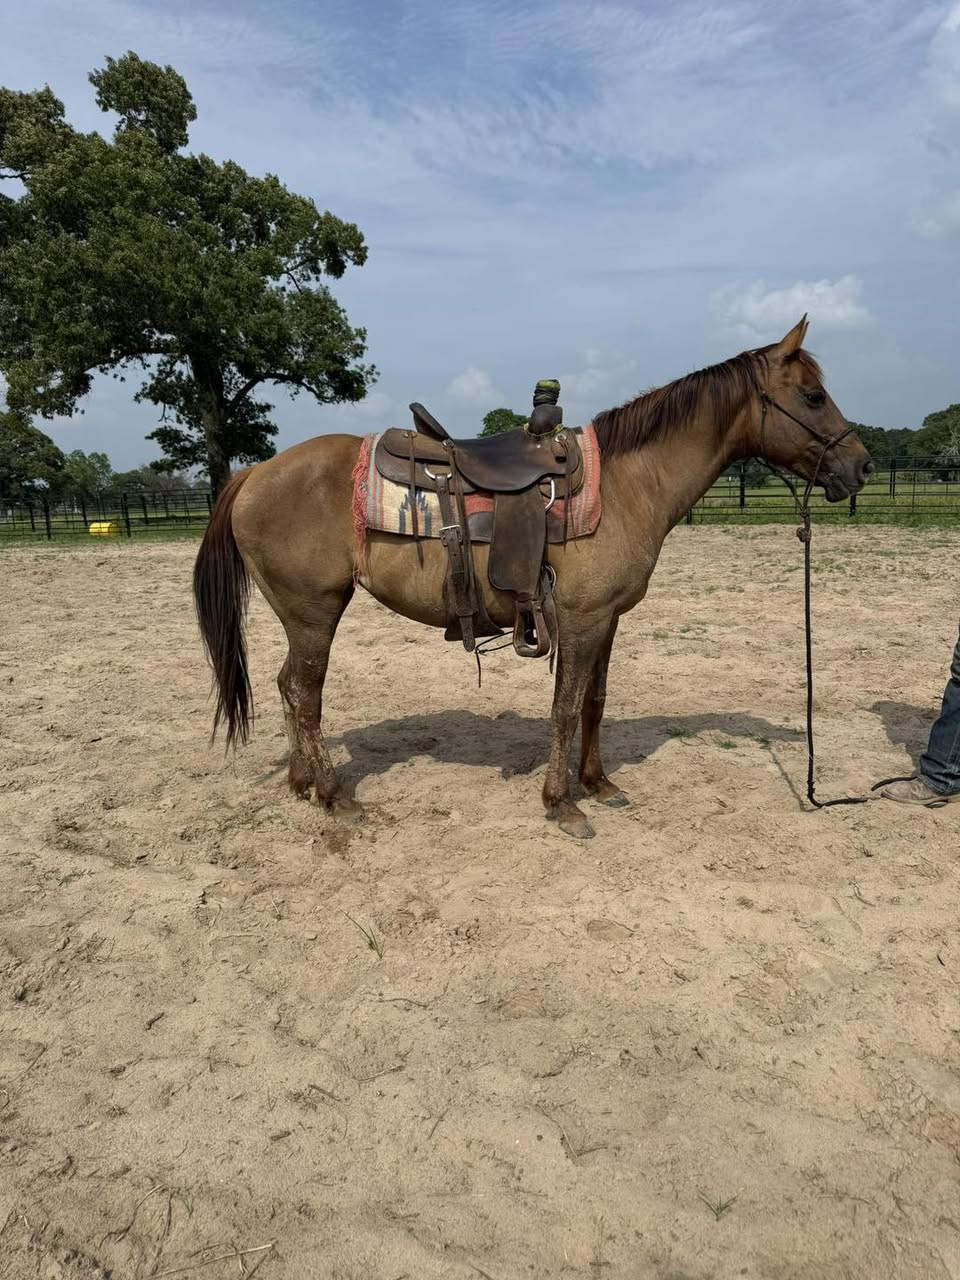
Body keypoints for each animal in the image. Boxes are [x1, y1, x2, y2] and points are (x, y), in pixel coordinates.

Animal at [193, 317, 873, 839]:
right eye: (814, 397)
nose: (862, 466)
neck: (627, 485)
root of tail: (255, 472)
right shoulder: (580, 618)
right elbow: (566, 708)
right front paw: (562, 802)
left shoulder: (607, 620)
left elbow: (595, 701)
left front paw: (598, 783)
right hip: (315, 611)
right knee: (304, 695)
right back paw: (336, 797)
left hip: (301, 615)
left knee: (287, 689)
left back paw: (302, 782)